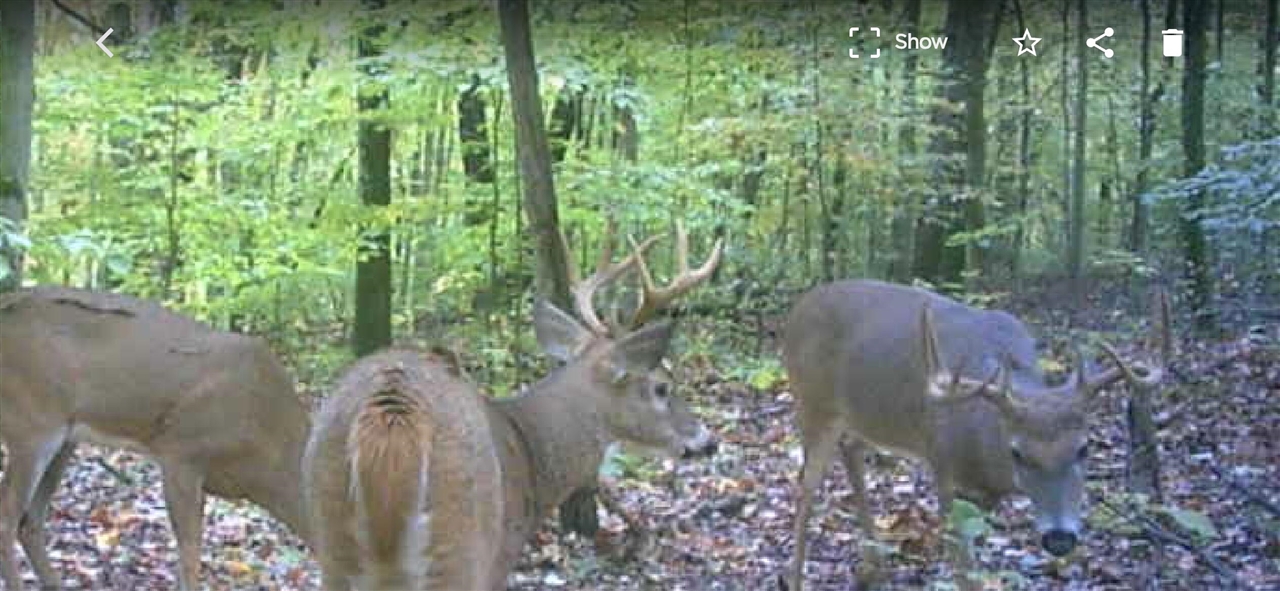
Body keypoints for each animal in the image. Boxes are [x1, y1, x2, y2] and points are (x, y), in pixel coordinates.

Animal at [0, 286, 314, 591]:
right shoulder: (181, 453)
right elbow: (189, 557)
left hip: (64, 437)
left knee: (30, 520)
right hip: (31, 423)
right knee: (8, 516)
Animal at [302, 221, 723, 590]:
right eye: (662, 387)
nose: (709, 440)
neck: (530, 454)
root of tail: (392, 415)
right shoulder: (499, 556)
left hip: (332, 539)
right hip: (463, 541)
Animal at [781, 279, 1167, 590]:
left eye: (1084, 449)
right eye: (1017, 452)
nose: (1059, 539)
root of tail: (797, 308)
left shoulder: (982, 496)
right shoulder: (943, 469)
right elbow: (965, 571)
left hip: (867, 419)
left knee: (850, 450)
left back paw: (872, 569)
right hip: (812, 405)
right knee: (805, 487)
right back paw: (796, 578)